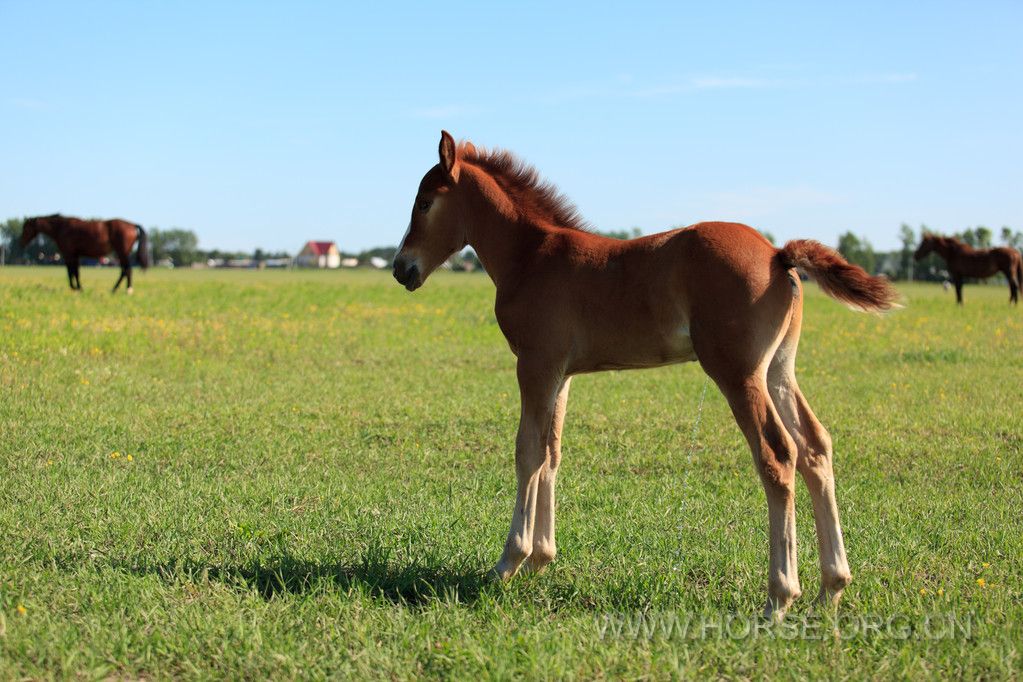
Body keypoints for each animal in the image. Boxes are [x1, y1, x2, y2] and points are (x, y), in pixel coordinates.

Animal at [21, 213, 149, 294]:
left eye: (26, 228)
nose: (21, 242)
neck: (61, 228)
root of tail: (132, 224)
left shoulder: (69, 253)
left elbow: (72, 272)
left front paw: (75, 288)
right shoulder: (75, 254)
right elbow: (75, 272)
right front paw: (78, 287)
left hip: (122, 251)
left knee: (127, 270)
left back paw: (127, 290)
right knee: (124, 270)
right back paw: (115, 289)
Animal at [394, 131, 900, 617]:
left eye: (424, 202)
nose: (401, 269)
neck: (532, 255)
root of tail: (778, 253)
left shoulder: (533, 365)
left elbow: (527, 452)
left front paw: (509, 561)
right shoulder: (560, 374)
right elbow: (552, 452)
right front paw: (541, 559)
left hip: (737, 373)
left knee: (777, 454)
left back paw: (780, 595)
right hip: (778, 370)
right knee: (815, 447)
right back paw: (830, 587)